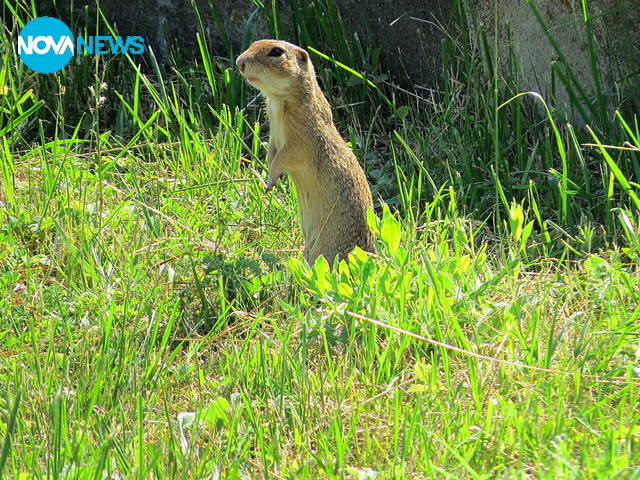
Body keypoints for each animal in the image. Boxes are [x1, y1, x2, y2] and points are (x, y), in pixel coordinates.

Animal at [235, 40, 376, 266]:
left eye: (276, 52)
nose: (240, 62)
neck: (279, 100)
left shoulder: (301, 140)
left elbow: (286, 156)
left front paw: (271, 181)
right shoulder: (274, 133)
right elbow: (272, 151)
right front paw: (269, 173)